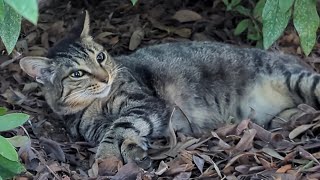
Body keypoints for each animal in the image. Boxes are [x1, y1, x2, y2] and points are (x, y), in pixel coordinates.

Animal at [19, 11, 320, 169]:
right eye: (77, 74)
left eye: (101, 57)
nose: (105, 78)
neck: (96, 104)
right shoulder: (94, 128)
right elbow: (115, 130)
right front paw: (135, 151)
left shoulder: (147, 104)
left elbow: (120, 125)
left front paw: (107, 159)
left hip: (300, 80)